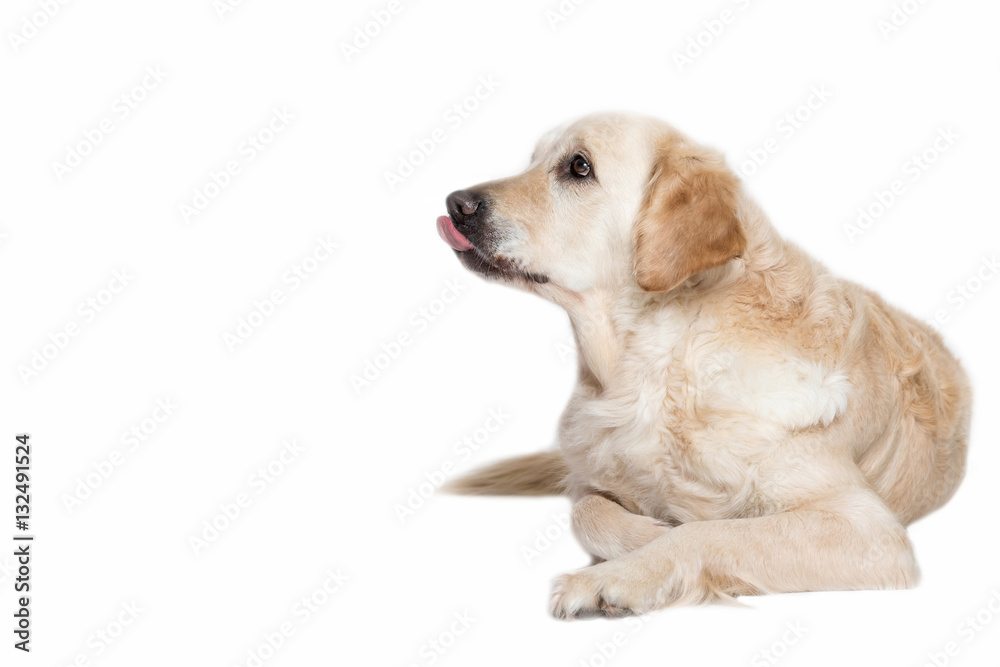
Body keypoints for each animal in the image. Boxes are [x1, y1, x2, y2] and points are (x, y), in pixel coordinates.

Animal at [434, 112, 972, 620]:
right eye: (532, 159)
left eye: (579, 167)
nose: (455, 202)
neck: (657, 362)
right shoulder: (590, 478)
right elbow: (587, 509)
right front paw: (642, 534)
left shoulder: (868, 528)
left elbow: (708, 532)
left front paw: (617, 575)